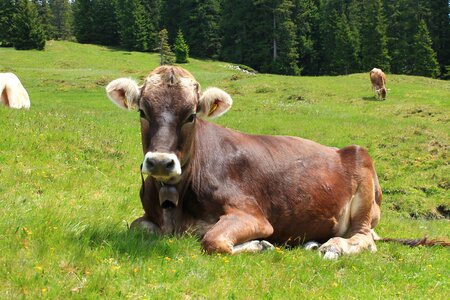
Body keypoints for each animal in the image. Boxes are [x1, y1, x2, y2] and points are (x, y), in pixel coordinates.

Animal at [106, 67, 384, 258]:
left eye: (191, 115)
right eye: (142, 111)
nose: (160, 162)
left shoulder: (252, 215)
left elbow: (213, 240)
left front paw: (261, 245)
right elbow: (136, 226)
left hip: (363, 180)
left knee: (364, 238)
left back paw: (334, 247)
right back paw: (312, 242)